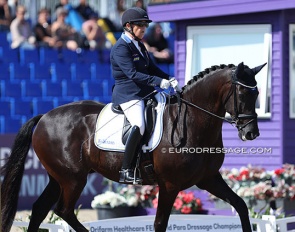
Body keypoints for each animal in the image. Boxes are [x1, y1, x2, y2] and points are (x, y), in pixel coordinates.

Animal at [0, 62, 266, 232]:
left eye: (257, 94)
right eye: (243, 94)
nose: (251, 133)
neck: (193, 121)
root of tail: (44, 116)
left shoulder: (209, 178)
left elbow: (241, 206)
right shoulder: (169, 185)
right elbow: (160, 224)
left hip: (59, 178)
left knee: (39, 210)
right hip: (72, 179)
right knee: (63, 210)